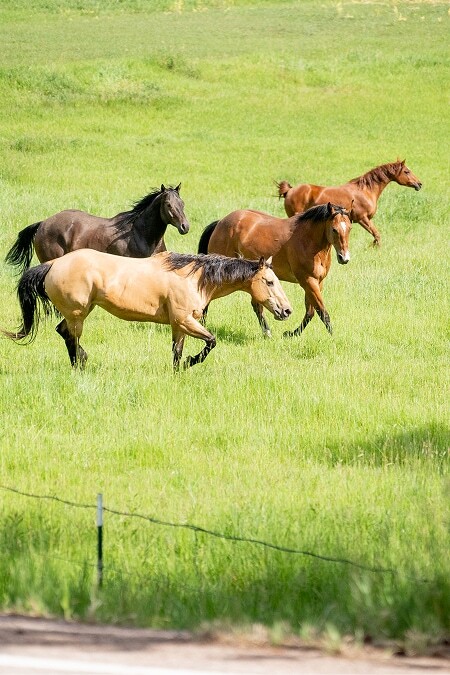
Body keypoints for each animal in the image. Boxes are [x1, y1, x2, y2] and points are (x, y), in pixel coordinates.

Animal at [2, 250, 292, 370]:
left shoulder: (179, 326)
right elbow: (211, 341)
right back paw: (80, 366)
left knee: (63, 333)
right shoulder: (185, 321)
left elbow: (176, 353)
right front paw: (191, 362)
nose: (287, 310)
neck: (193, 276)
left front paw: (180, 370)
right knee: (70, 338)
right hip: (78, 315)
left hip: (78, 313)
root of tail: (52, 264)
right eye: (269, 281)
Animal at [198, 202, 351, 338]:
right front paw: (333, 337)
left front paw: (291, 334)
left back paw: (267, 333)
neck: (308, 240)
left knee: (257, 306)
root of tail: (220, 223)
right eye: (334, 229)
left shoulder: (317, 282)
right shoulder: (308, 281)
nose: (344, 258)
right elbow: (322, 312)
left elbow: (310, 312)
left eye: (349, 228)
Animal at [277, 160, 422, 246]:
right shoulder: (363, 218)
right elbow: (377, 235)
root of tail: (289, 190)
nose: (419, 184)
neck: (365, 191)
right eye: (407, 171)